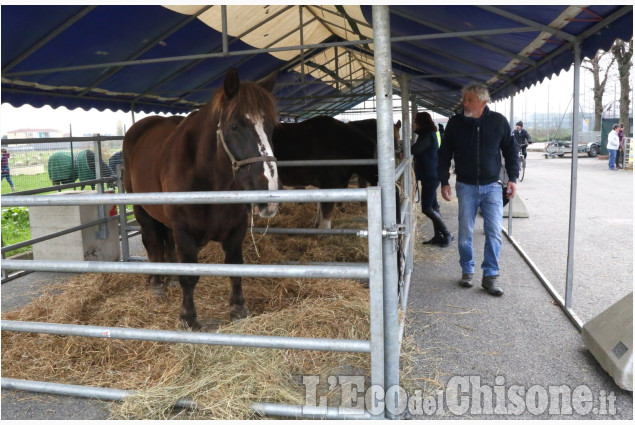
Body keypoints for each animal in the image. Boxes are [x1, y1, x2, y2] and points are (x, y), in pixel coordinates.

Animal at [124, 68, 280, 328]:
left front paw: (238, 308)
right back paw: (156, 282)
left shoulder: (236, 230)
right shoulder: (184, 232)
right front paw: (188, 318)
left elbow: (235, 267)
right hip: (141, 210)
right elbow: (190, 277)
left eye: (271, 126)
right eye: (234, 126)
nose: (268, 192)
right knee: (152, 242)